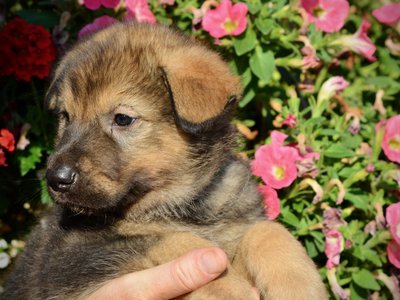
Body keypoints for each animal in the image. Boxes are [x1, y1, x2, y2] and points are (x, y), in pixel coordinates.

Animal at [2, 24, 328, 300]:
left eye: (122, 119)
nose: (55, 179)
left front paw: (299, 285)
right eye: (65, 117)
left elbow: (267, 230)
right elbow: (171, 240)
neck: (179, 205)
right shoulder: (73, 256)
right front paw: (230, 288)